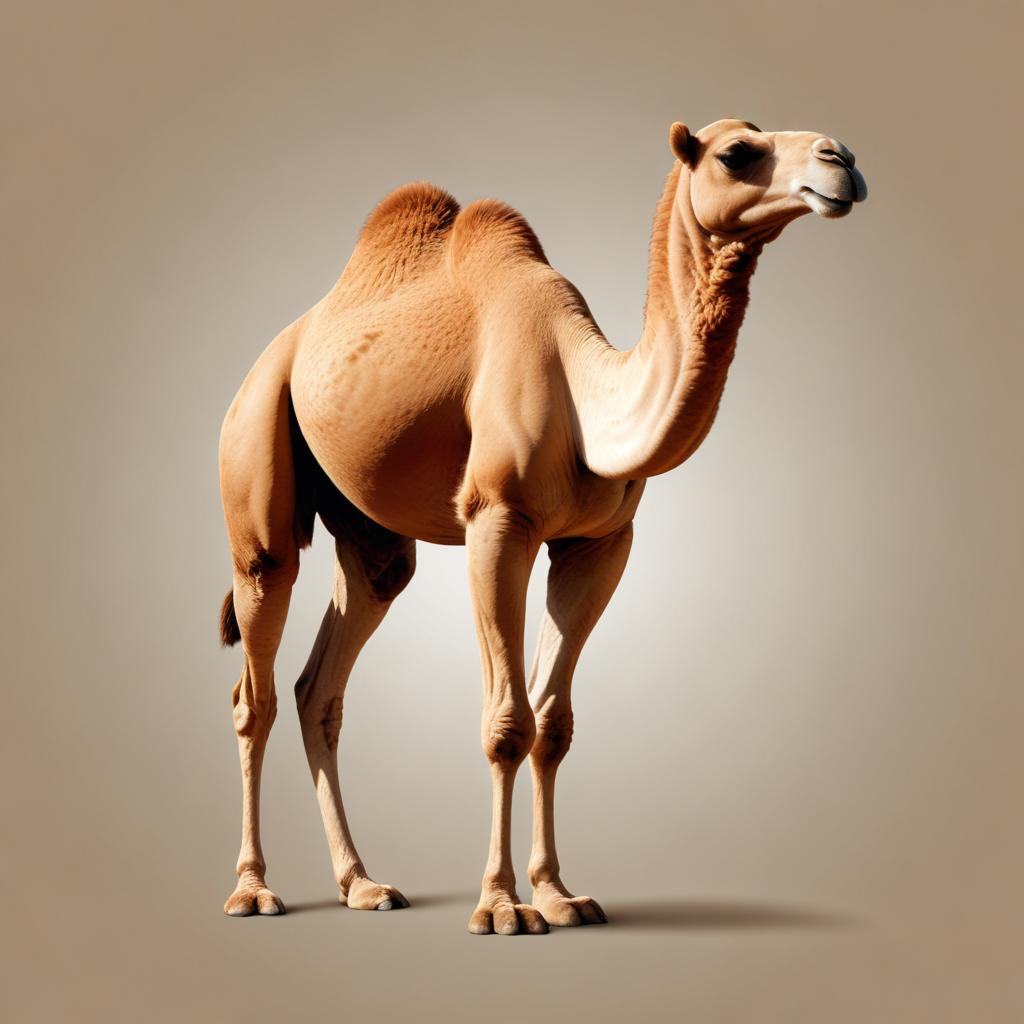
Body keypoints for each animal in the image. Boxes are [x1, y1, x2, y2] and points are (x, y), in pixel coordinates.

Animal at [217, 119, 867, 934]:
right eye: (736, 153)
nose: (841, 161)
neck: (588, 397)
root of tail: (278, 347)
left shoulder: (599, 544)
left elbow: (553, 724)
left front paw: (560, 895)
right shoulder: (497, 519)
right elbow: (508, 723)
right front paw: (501, 907)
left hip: (367, 533)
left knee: (325, 676)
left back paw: (362, 884)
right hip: (257, 452)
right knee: (257, 681)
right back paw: (252, 890)